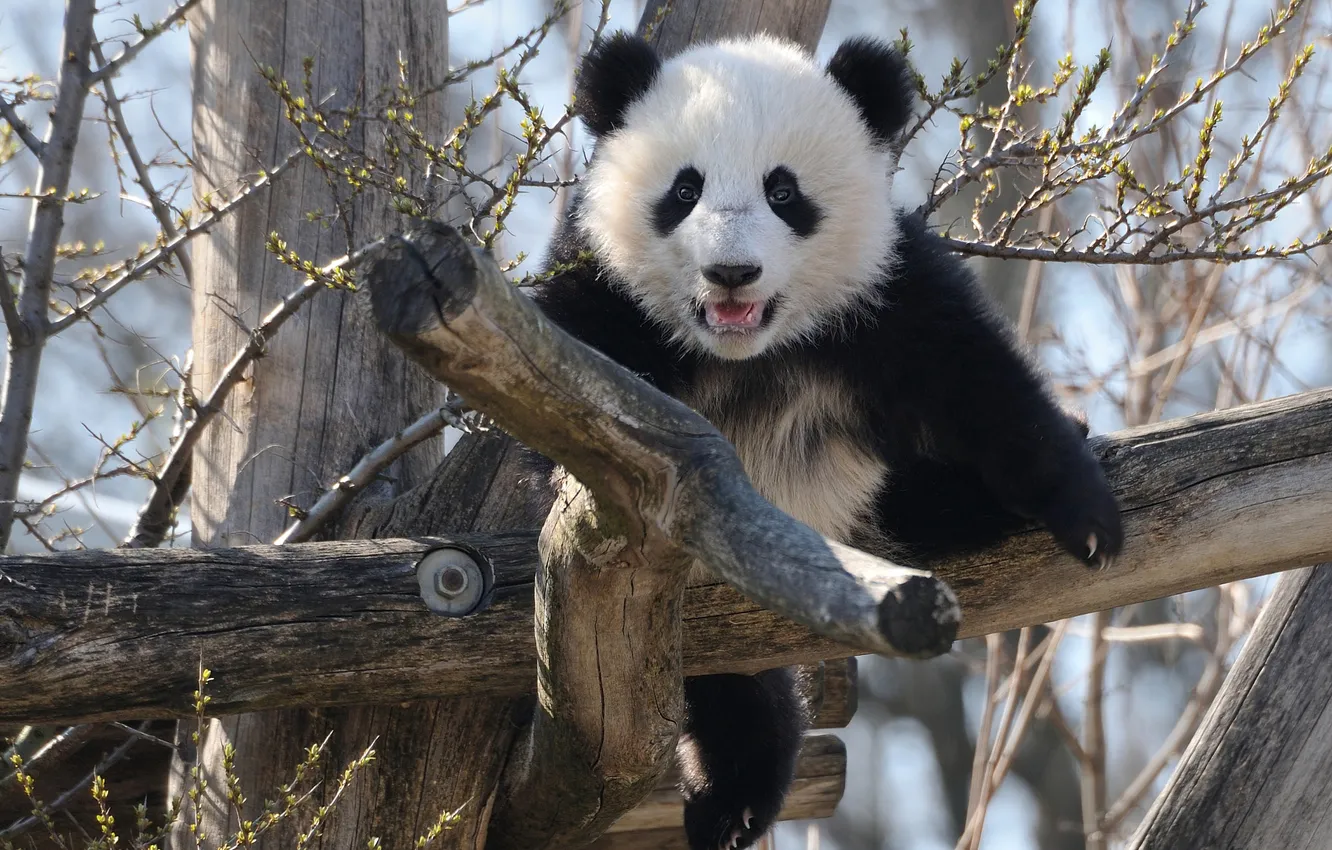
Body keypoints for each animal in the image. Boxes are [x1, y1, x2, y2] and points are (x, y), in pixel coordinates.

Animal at [521, 30, 1124, 850]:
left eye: (784, 192)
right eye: (684, 191)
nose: (732, 272)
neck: (745, 353)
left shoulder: (882, 297)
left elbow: (979, 382)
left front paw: (1088, 518)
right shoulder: (602, 298)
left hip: (861, 492)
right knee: (729, 686)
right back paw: (734, 797)